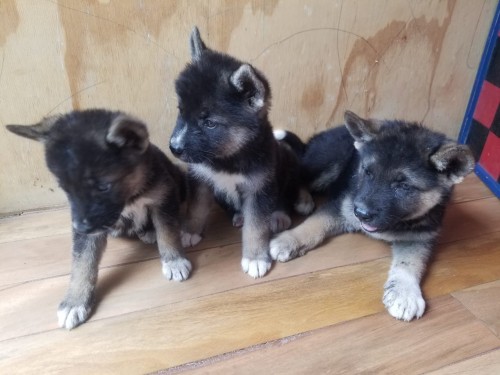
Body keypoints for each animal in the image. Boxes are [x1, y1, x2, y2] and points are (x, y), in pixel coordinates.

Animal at [7, 110, 191, 330]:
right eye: (65, 188)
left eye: (103, 187)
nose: (79, 227)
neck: (131, 196)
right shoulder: (88, 230)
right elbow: (82, 263)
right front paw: (75, 301)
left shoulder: (164, 198)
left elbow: (168, 232)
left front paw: (174, 260)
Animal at [170, 27, 314, 280]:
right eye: (181, 111)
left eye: (209, 123)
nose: (173, 148)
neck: (227, 158)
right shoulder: (200, 179)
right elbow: (196, 208)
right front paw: (190, 230)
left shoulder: (258, 188)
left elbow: (256, 227)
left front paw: (255, 258)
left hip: (284, 159)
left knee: (292, 185)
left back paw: (289, 208)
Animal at [272, 110, 474, 322]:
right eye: (367, 172)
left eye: (403, 186)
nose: (360, 214)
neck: (395, 223)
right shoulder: (342, 205)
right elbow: (315, 224)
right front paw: (289, 240)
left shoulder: (420, 236)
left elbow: (411, 262)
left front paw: (405, 292)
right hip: (328, 161)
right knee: (298, 175)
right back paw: (303, 199)